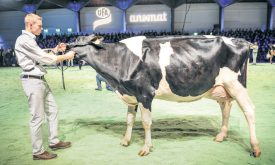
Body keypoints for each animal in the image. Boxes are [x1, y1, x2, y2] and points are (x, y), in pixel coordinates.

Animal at [68, 34, 262, 157]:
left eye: (78, 41)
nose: (64, 46)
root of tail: (240, 40)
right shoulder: (131, 95)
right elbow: (129, 120)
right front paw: (125, 141)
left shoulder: (145, 94)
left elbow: (146, 123)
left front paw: (146, 148)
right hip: (221, 88)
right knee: (226, 108)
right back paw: (221, 136)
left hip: (236, 84)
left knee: (249, 110)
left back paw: (255, 147)